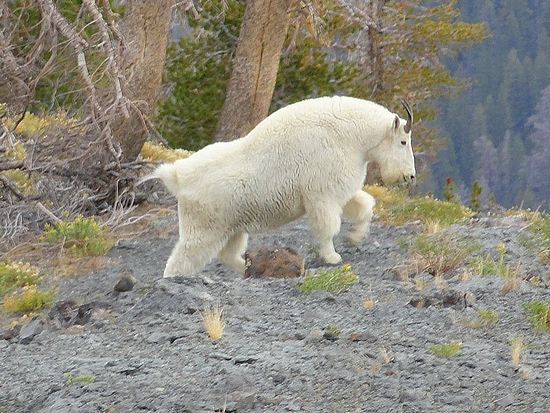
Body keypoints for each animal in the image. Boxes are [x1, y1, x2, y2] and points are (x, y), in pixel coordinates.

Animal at [144, 96, 416, 276]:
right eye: (403, 141)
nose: (410, 177)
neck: (350, 135)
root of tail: (178, 175)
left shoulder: (339, 188)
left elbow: (364, 206)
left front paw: (355, 237)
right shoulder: (321, 194)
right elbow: (328, 227)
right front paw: (332, 257)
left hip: (232, 225)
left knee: (228, 253)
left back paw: (249, 269)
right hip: (203, 226)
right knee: (182, 259)